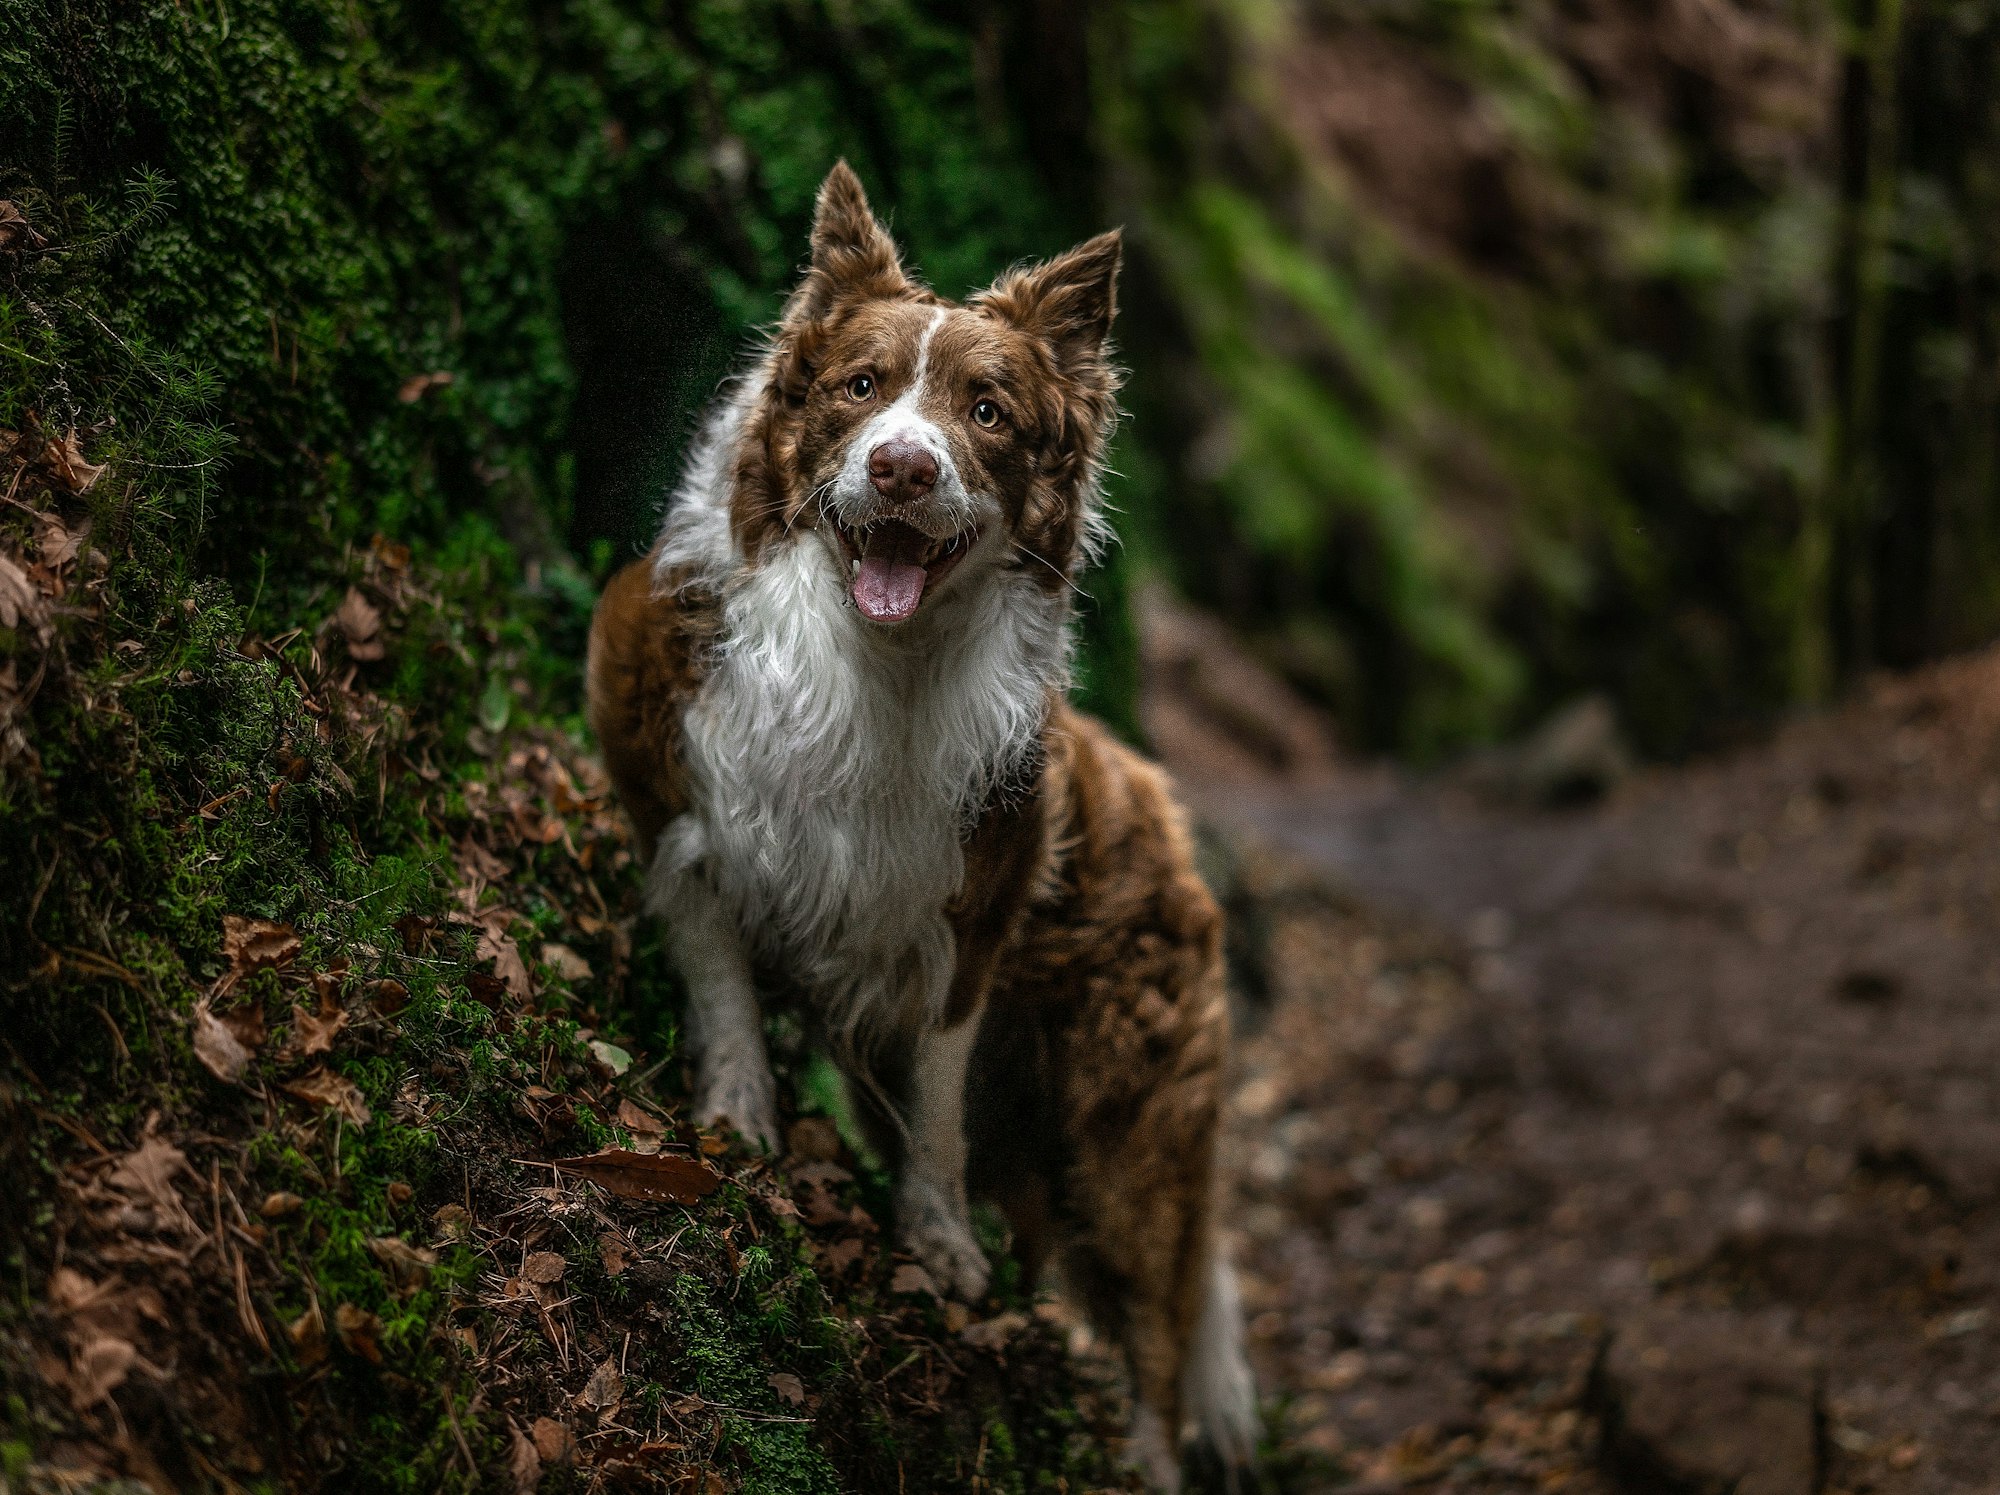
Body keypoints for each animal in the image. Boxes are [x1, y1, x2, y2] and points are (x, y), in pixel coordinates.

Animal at [584, 160, 1256, 1487]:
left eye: (985, 412)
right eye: (859, 388)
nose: (901, 469)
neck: (872, 661)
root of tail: (1168, 819)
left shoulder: (966, 927)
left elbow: (935, 1117)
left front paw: (936, 1245)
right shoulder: (683, 808)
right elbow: (725, 992)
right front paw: (735, 1124)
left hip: (1127, 1136)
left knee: (1156, 1347)